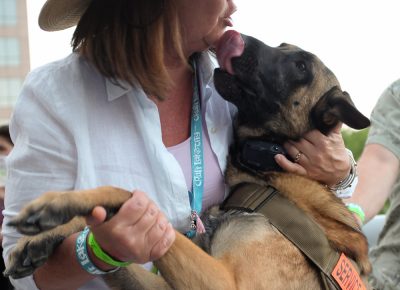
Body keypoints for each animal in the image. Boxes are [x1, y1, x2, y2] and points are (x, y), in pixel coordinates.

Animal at [3, 30, 372, 288]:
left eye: (301, 67)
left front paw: (56, 205)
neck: (268, 180)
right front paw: (43, 235)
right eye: (282, 46)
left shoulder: (226, 282)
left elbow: (128, 194)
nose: (233, 37)